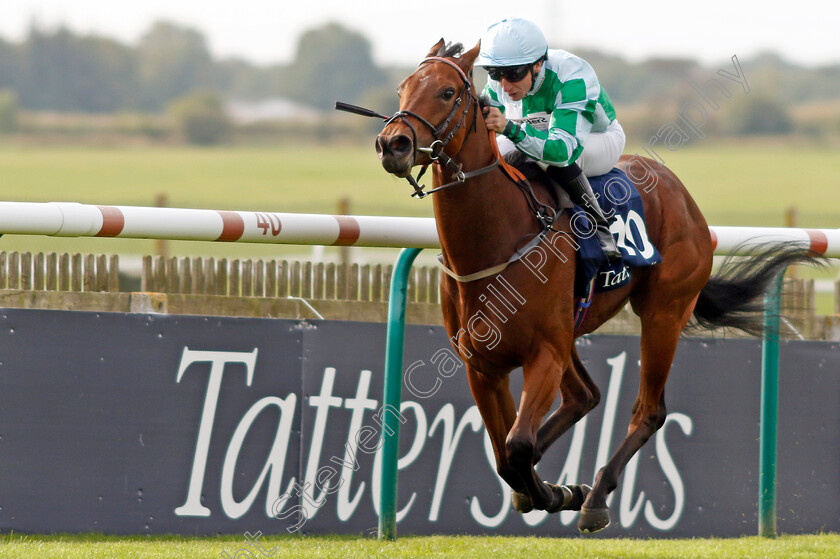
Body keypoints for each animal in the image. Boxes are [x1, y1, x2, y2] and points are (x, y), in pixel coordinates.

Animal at [370, 39, 816, 532]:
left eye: (448, 92)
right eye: (402, 87)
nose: (392, 143)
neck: (497, 242)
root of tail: (681, 194)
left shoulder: (544, 352)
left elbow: (517, 445)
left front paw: (558, 491)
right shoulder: (482, 366)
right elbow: (506, 454)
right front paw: (551, 489)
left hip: (662, 314)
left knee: (648, 410)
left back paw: (597, 494)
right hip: (575, 332)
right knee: (584, 396)